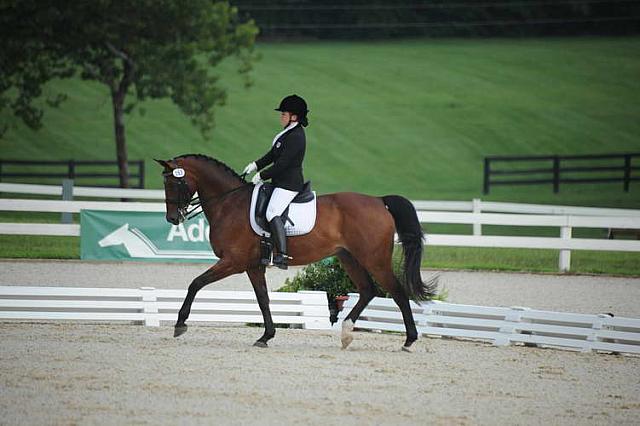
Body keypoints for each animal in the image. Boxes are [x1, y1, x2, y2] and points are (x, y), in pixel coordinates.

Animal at [156, 155, 436, 352]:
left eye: (175, 182)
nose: (172, 219)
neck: (229, 202)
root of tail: (379, 201)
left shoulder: (233, 262)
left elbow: (196, 283)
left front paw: (180, 324)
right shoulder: (252, 265)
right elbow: (263, 299)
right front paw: (266, 336)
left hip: (374, 259)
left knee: (397, 292)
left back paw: (409, 341)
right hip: (349, 257)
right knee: (368, 290)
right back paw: (346, 333)